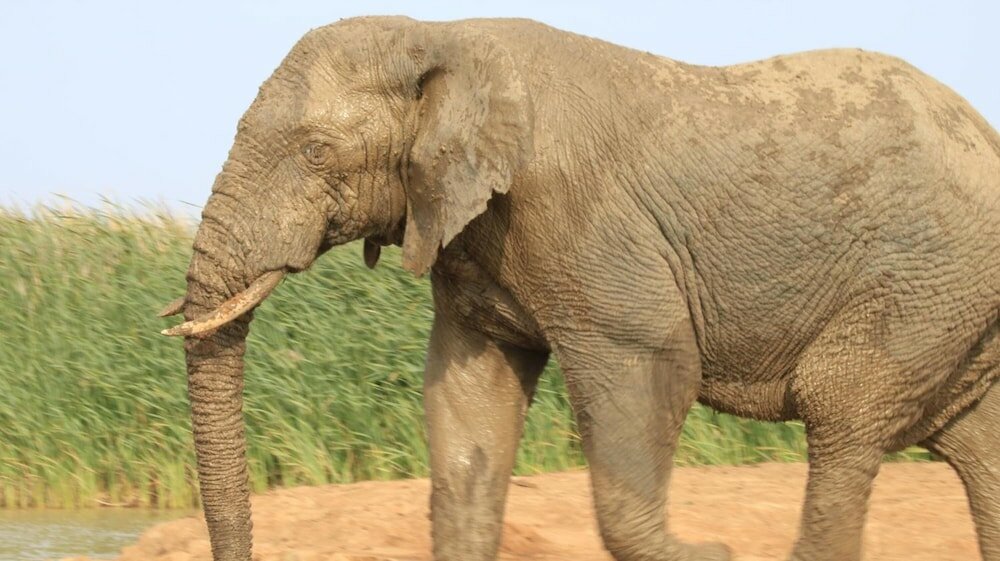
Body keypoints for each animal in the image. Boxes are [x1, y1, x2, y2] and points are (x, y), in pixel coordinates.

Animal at [160, 16, 1000, 561]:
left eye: (314, 151)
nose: (718, 543)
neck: (440, 33)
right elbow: (470, 400)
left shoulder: (582, 215)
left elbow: (651, 360)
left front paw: (709, 550)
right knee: (974, 441)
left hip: (927, 282)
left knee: (842, 410)